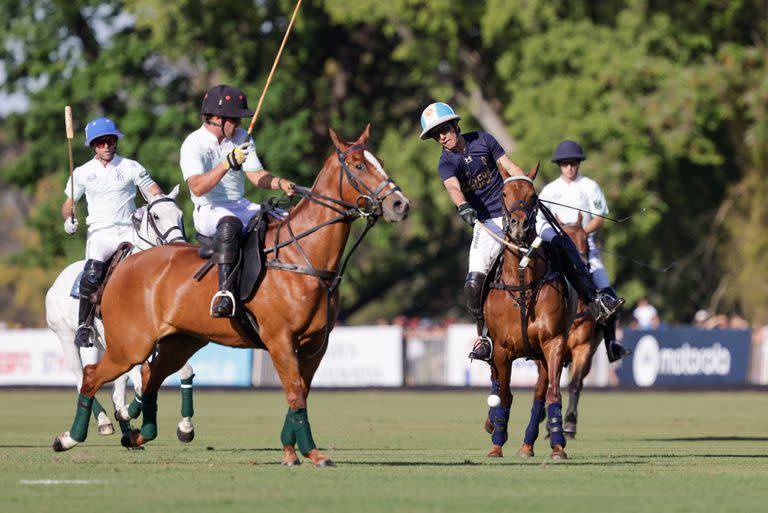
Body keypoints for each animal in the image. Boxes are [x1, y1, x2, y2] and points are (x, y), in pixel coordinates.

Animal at [44, 186, 196, 446]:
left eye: (180, 215)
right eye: (156, 216)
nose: (179, 245)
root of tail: (57, 280)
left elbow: (183, 371)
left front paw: (185, 428)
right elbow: (140, 384)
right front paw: (126, 415)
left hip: (99, 345)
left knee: (108, 384)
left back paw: (123, 427)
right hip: (67, 338)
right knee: (81, 379)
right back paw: (105, 421)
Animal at [486, 164, 568, 460]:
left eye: (533, 195)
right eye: (504, 193)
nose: (519, 226)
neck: (522, 281)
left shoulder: (554, 342)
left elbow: (553, 393)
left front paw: (559, 446)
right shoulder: (500, 349)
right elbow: (505, 394)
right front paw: (497, 444)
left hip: (542, 355)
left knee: (540, 393)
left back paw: (527, 445)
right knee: (496, 384)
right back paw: (491, 424)